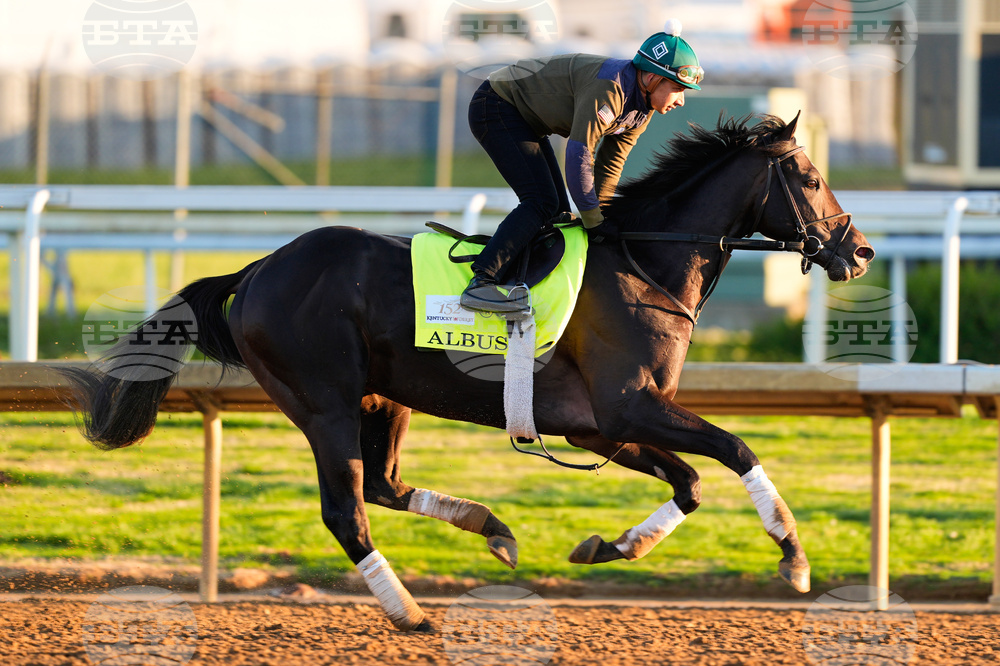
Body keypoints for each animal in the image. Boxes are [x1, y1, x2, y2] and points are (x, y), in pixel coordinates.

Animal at [65, 113, 874, 632]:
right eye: (809, 176)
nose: (858, 251)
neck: (645, 264)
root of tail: (260, 267)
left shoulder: (597, 428)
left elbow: (692, 481)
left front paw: (611, 547)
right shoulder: (625, 409)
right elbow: (735, 450)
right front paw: (795, 558)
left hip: (383, 396)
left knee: (386, 487)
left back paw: (495, 530)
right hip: (324, 402)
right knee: (347, 510)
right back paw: (410, 612)